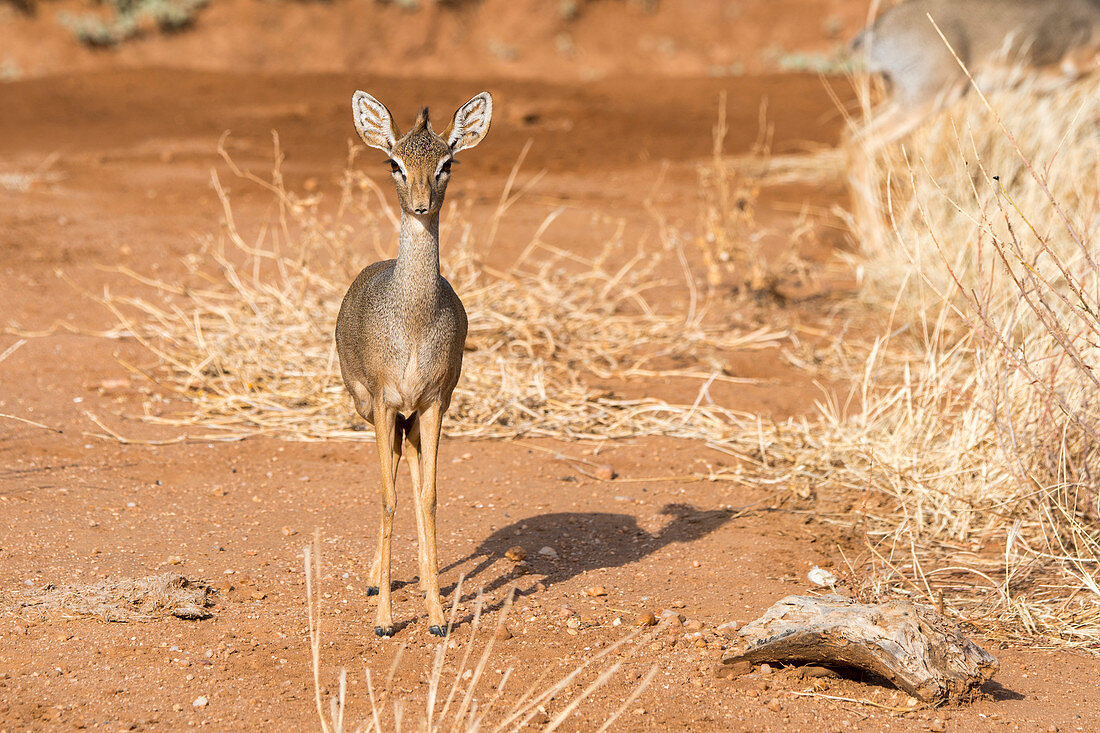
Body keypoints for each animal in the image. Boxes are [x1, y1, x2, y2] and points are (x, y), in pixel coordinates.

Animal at [332, 88, 492, 633]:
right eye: (394, 162)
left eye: (447, 162)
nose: (421, 204)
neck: (416, 320)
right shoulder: (384, 401)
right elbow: (388, 496)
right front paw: (384, 619)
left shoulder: (435, 402)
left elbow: (429, 497)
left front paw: (438, 615)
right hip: (370, 409)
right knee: (396, 466)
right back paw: (378, 581)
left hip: (414, 415)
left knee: (414, 466)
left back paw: (423, 583)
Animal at [853, 1, 1100, 143]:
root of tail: (877, 30)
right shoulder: (1074, 63)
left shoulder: (1045, 94)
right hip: (929, 99)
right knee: (860, 145)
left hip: (907, 97)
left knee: (854, 135)